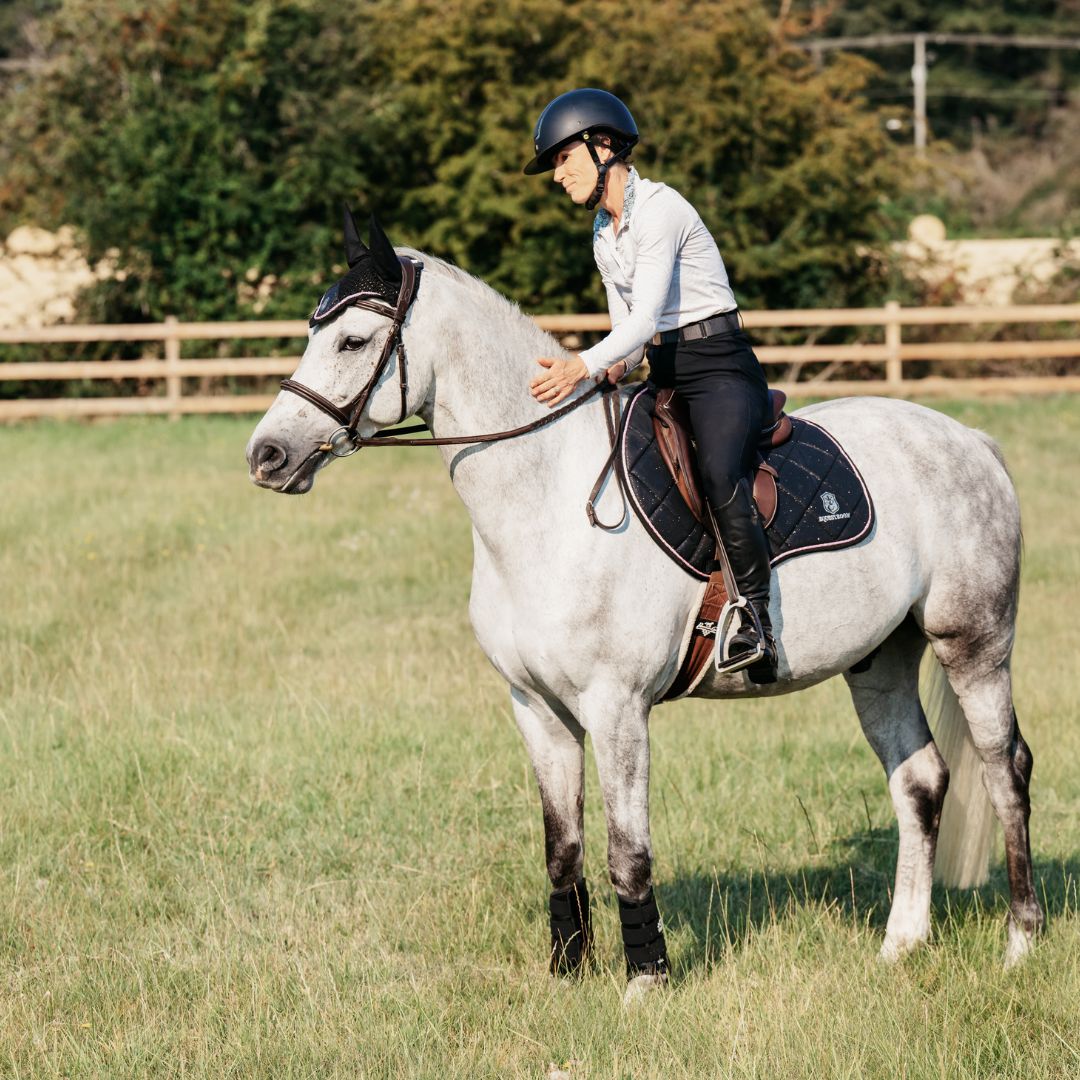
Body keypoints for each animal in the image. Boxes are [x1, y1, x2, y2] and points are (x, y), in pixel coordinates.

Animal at [245, 221, 1036, 1002]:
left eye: (352, 341)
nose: (267, 456)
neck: (548, 498)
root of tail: (971, 441)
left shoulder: (616, 707)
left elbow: (628, 852)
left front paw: (645, 981)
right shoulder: (537, 709)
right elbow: (562, 850)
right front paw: (568, 973)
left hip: (974, 643)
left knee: (1006, 771)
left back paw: (1020, 943)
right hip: (881, 658)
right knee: (919, 780)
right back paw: (901, 945)